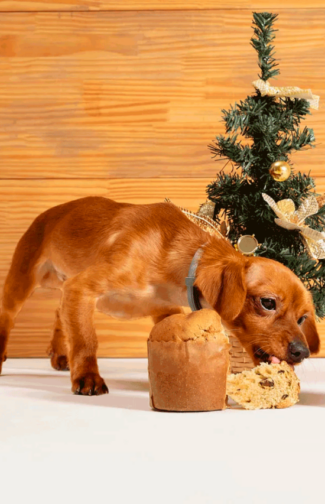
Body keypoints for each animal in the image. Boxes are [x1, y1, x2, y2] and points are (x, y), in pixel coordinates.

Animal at [0, 195, 318, 396]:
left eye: (303, 318)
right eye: (268, 302)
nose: (302, 353)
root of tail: (51, 211)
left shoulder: (165, 311)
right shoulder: (82, 288)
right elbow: (86, 340)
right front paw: (87, 377)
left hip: (62, 284)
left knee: (58, 311)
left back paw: (59, 353)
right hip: (24, 281)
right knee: (9, 316)